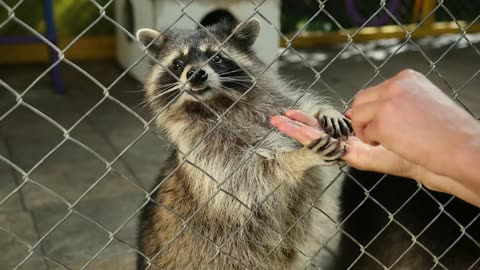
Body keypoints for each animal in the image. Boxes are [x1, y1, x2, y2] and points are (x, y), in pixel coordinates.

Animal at [135, 17, 352, 268]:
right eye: (178, 63)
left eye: (216, 58)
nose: (196, 74)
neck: (216, 103)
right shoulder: (204, 150)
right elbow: (249, 177)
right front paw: (296, 158)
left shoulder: (269, 104)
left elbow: (293, 108)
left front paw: (323, 111)